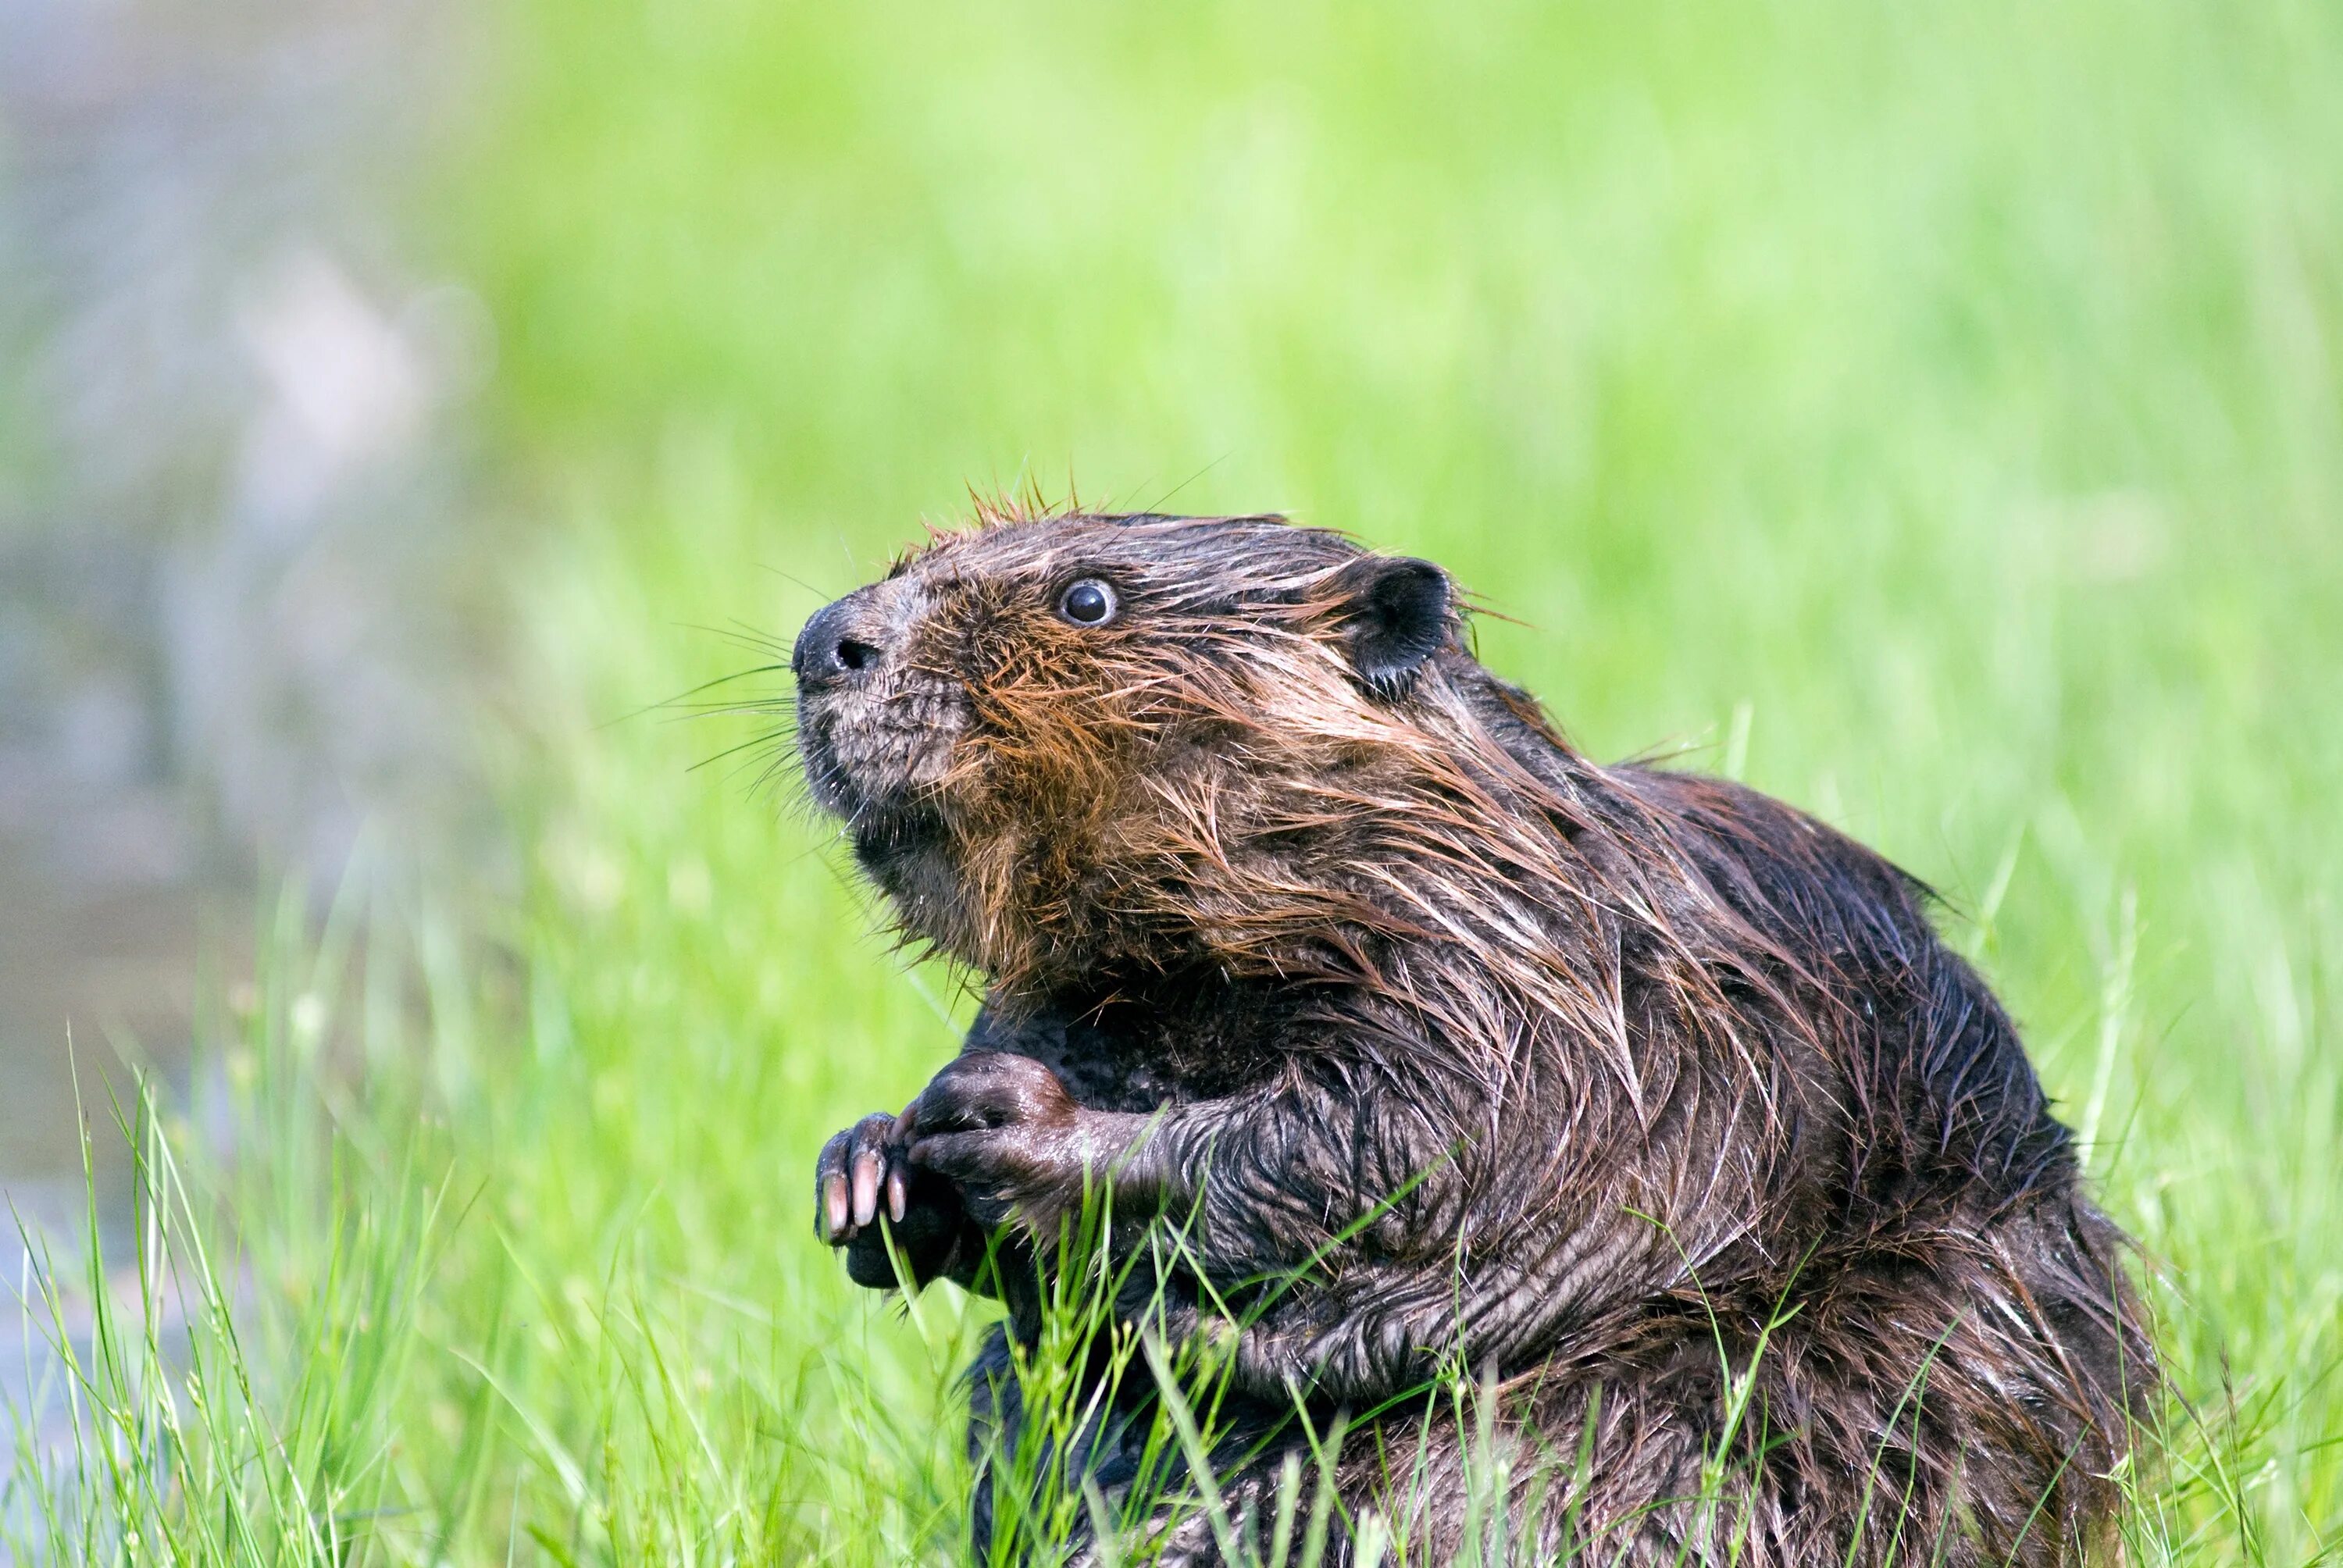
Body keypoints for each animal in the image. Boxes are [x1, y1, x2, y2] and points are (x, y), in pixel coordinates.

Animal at [797, 511, 2146, 1556]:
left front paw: (1004, 1122)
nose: (825, 642)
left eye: (1088, 597)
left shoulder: (1546, 987)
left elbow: (1410, 1147)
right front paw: (872, 1166)